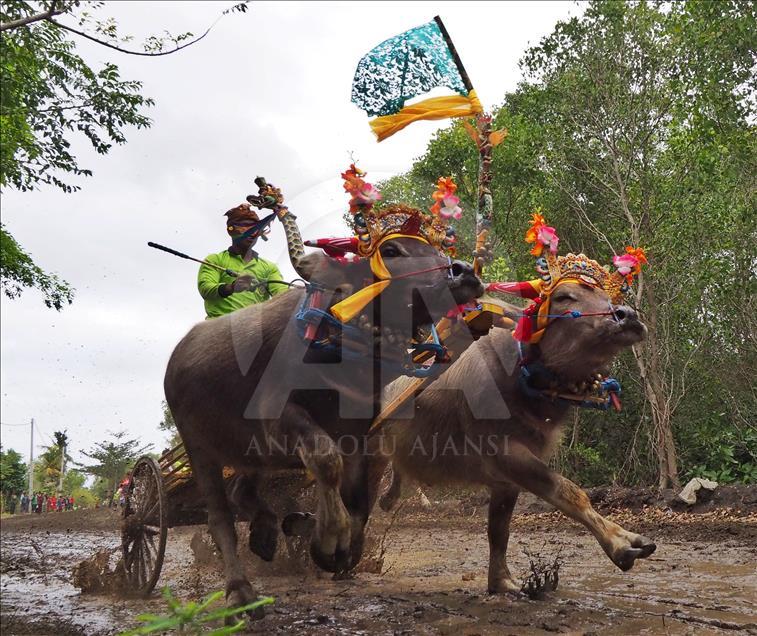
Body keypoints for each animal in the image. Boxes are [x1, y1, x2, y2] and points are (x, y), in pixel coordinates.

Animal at [164, 236, 484, 608]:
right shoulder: (278, 418)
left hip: (251, 453)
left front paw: (332, 547)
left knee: (241, 488)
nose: (464, 272)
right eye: (390, 251)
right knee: (219, 517)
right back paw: (241, 590)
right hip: (199, 449)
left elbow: (358, 501)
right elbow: (326, 461)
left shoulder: (360, 437)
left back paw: (265, 534)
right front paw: (330, 538)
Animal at [376, 280, 652, 592]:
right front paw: (622, 545)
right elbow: (569, 491)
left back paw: (388, 499)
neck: (522, 377)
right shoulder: (504, 452)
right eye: (563, 296)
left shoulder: (506, 479)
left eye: (606, 295)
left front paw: (502, 582)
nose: (627, 316)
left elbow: (499, 531)